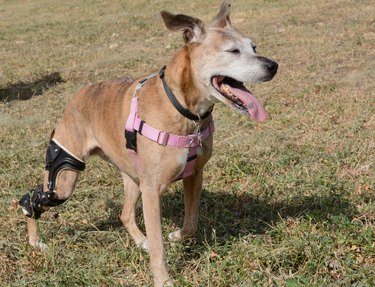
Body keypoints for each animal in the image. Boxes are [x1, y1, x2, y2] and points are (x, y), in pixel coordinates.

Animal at [19, 1, 278, 286]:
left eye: (254, 47)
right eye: (232, 51)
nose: (273, 66)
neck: (182, 107)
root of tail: (76, 96)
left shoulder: (194, 175)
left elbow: (191, 223)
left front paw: (175, 236)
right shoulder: (152, 190)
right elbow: (158, 247)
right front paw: (163, 279)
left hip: (132, 178)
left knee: (124, 214)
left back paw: (140, 241)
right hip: (64, 177)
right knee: (30, 201)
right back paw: (35, 242)